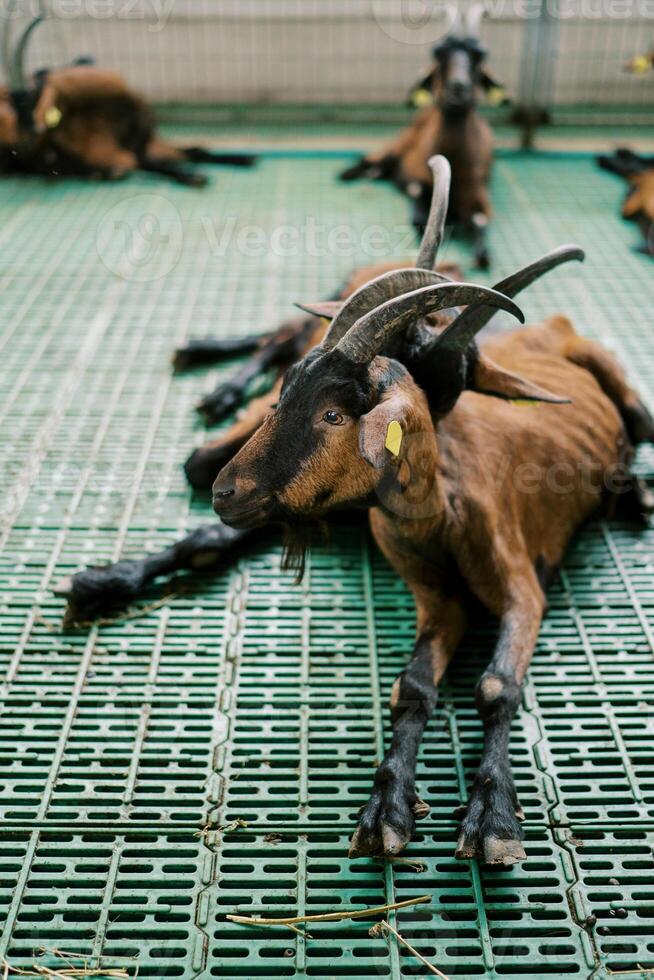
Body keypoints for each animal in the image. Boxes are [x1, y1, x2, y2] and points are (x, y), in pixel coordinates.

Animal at [55, 155, 654, 864]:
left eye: (334, 414)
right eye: (289, 392)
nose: (227, 491)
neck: (444, 517)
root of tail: (557, 325)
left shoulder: (521, 587)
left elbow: (496, 685)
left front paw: (495, 819)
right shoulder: (433, 595)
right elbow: (413, 688)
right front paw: (388, 807)